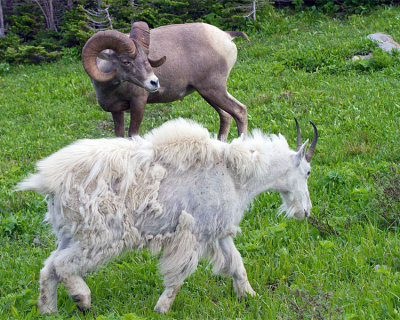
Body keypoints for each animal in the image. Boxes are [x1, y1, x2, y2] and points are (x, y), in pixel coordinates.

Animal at [17, 118, 318, 316]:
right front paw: (162, 308)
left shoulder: (217, 231)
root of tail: (49, 181)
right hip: (100, 236)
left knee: (49, 267)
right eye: (308, 171)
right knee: (63, 265)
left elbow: (237, 265)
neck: (235, 175)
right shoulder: (193, 233)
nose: (305, 211)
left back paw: (49, 310)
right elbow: (179, 276)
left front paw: (250, 296)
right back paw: (83, 298)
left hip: (72, 234)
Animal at [82, 21, 248, 141]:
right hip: (209, 93)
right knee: (226, 116)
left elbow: (132, 135)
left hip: (213, 90)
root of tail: (226, 36)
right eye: (126, 62)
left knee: (239, 111)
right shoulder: (117, 111)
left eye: (146, 58)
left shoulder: (138, 102)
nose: (154, 82)